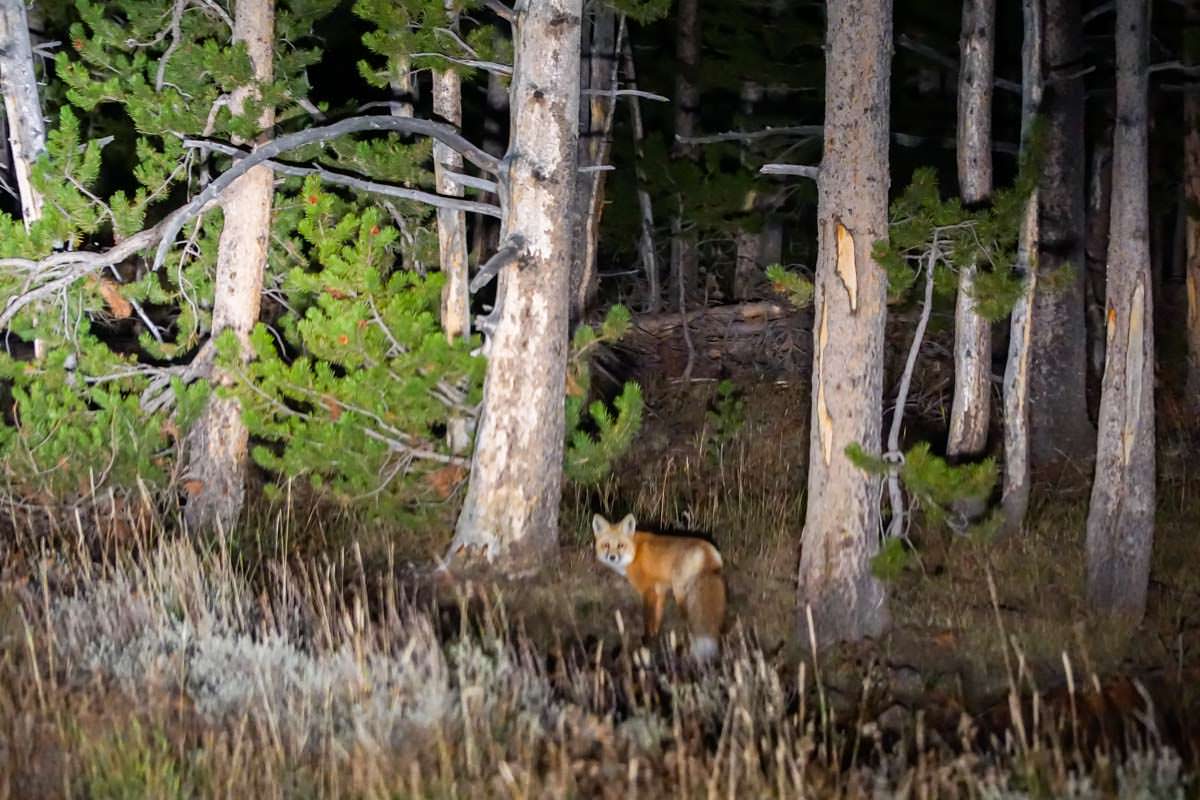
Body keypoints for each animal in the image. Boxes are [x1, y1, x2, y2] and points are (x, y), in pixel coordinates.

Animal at [588, 515, 720, 662]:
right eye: (606, 545)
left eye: (620, 546)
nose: (612, 557)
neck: (635, 552)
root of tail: (706, 549)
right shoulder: (660, 590)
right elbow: (657, 621)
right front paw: (655, 642)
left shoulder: (648, 591)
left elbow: (648, 621)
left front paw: (647, 645)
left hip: (682, 594)